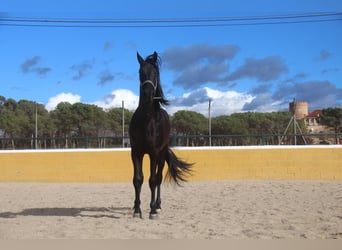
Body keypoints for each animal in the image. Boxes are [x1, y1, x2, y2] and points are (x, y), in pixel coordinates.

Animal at [129, 51, 192, 219]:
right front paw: (137, 210)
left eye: (156, 73)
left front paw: (151, 211)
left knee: (158, 178)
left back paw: (157, 206)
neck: (147, 119)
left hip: (161, 155)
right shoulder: (136, 152)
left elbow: (152, 180)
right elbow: (137, 180)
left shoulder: (154, 152)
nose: (148, 94)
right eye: (140, 72)